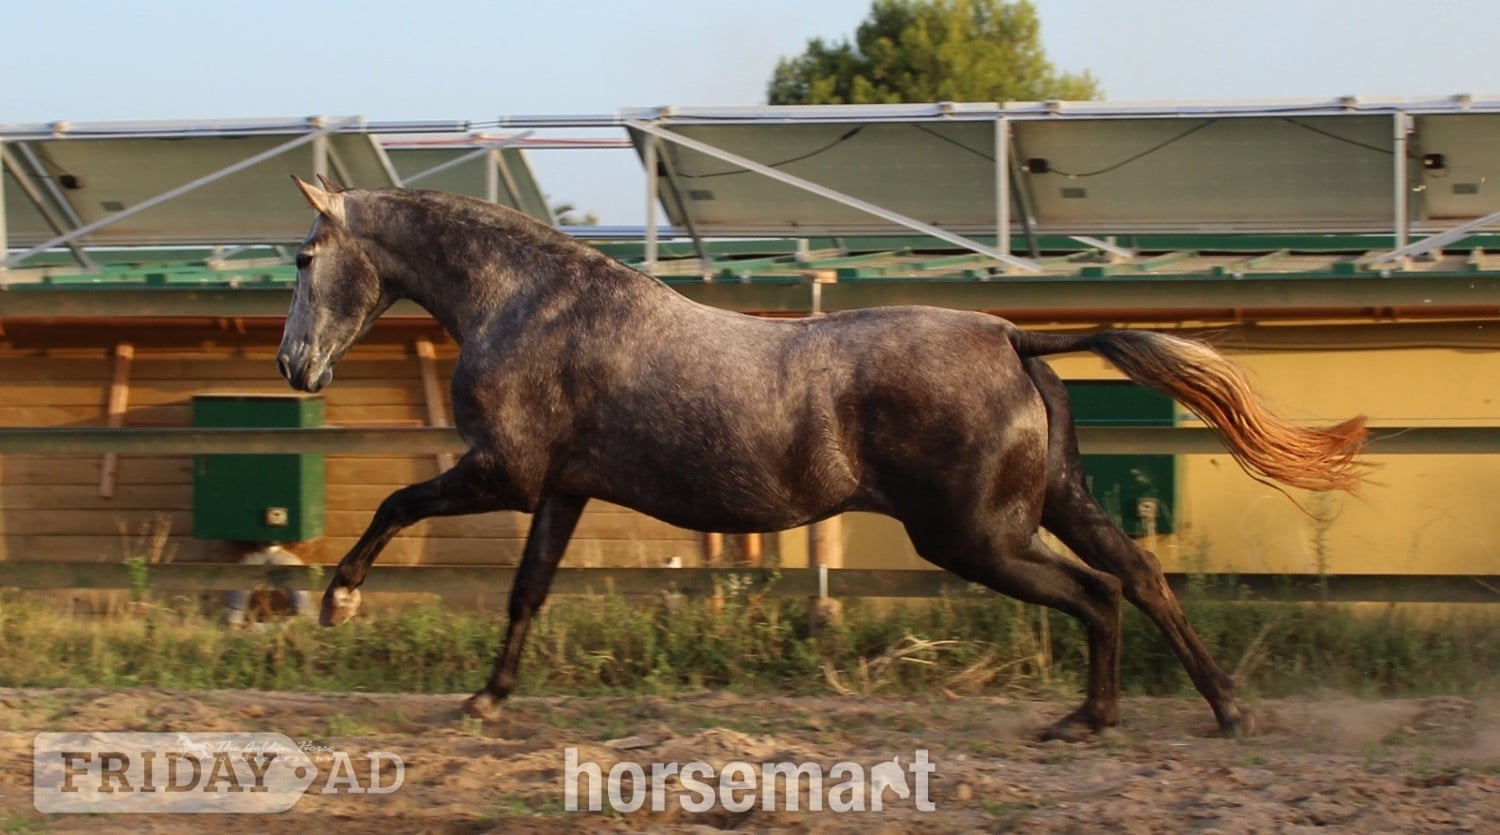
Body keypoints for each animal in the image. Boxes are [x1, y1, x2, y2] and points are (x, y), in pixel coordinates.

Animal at [277, 176, 1371, 739]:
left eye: (302, 257)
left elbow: (395, 505)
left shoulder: (501, 471)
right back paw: (1217, 708)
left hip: (973, 536)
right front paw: (486, 696)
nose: (295, 365)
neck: (527, 303)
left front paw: (338, 605)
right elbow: (526, 591)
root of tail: (1013, 339)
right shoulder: (560, 489)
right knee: (1139, 573)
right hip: (1047, 505)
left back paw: (1091, 717)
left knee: (1098, 590)